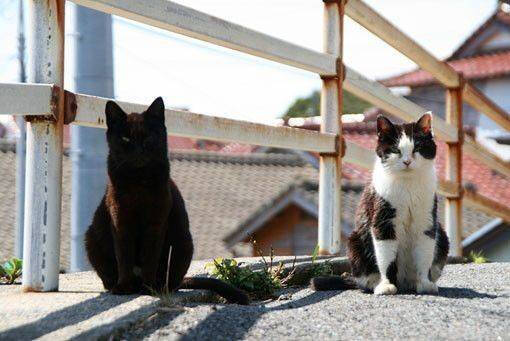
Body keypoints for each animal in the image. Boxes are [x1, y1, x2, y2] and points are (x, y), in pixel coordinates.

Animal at [312, 113, 448, 294]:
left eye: (417, 148)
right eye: (396, 150)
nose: (407, 161)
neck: (408, 186)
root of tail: (403, 283)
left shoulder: (426, 222)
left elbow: (424, 254)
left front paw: (425, 283)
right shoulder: (383, 221)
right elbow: (386, 256)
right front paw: (386, 285)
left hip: (442, 234)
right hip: (354, 241)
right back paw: (376, 284)